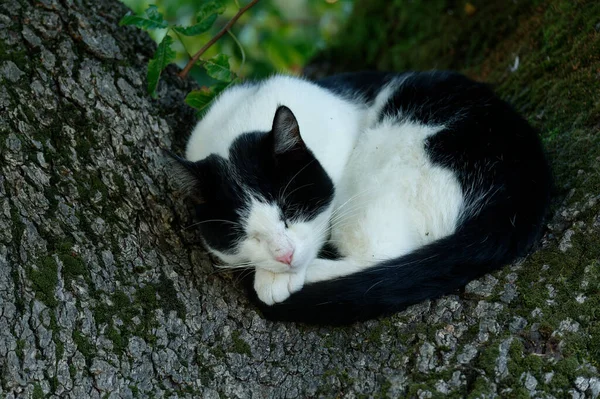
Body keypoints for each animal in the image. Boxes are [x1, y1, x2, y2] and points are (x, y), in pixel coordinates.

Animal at [166, 71, 552, 324]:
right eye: (245, 234)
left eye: (291, 209)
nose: (285, 256)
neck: (236, 122)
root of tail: (526, 182)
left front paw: (274, 277)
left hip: (387, 154)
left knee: (380, 255)